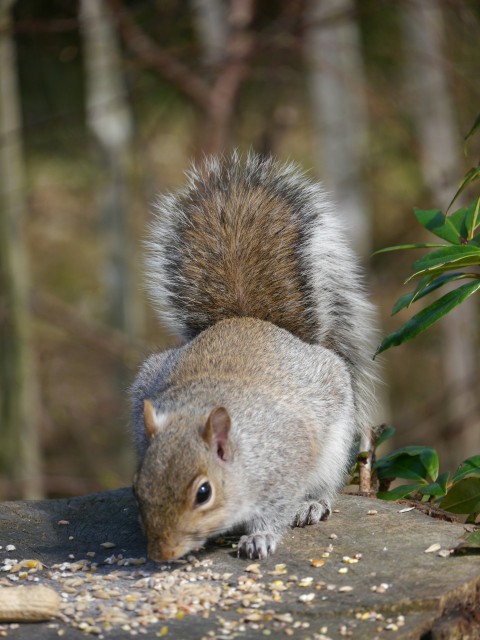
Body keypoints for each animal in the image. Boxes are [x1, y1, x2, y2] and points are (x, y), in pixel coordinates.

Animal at [130, 152, 378, 562]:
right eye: (138, 486)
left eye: (203, 492)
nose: (161, 554)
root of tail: (247, 319)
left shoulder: (286, 460)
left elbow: (276, 508)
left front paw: (260, 538)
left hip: (335, 440)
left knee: (325, 482)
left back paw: (313, 504)